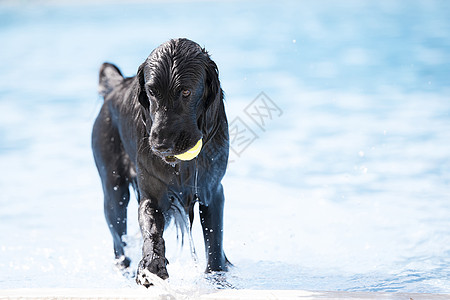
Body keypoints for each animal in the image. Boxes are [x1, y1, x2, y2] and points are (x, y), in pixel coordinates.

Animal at [92, 37, 230, 286]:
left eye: (185, 91)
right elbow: (151, 231)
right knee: (118, 241)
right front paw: (151, 266)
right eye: (151, 91)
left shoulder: (213, 192)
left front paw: (217, 278)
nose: (160, 144)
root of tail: (115, 86)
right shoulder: (152, 194)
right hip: (113, 191)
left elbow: (214, 243)